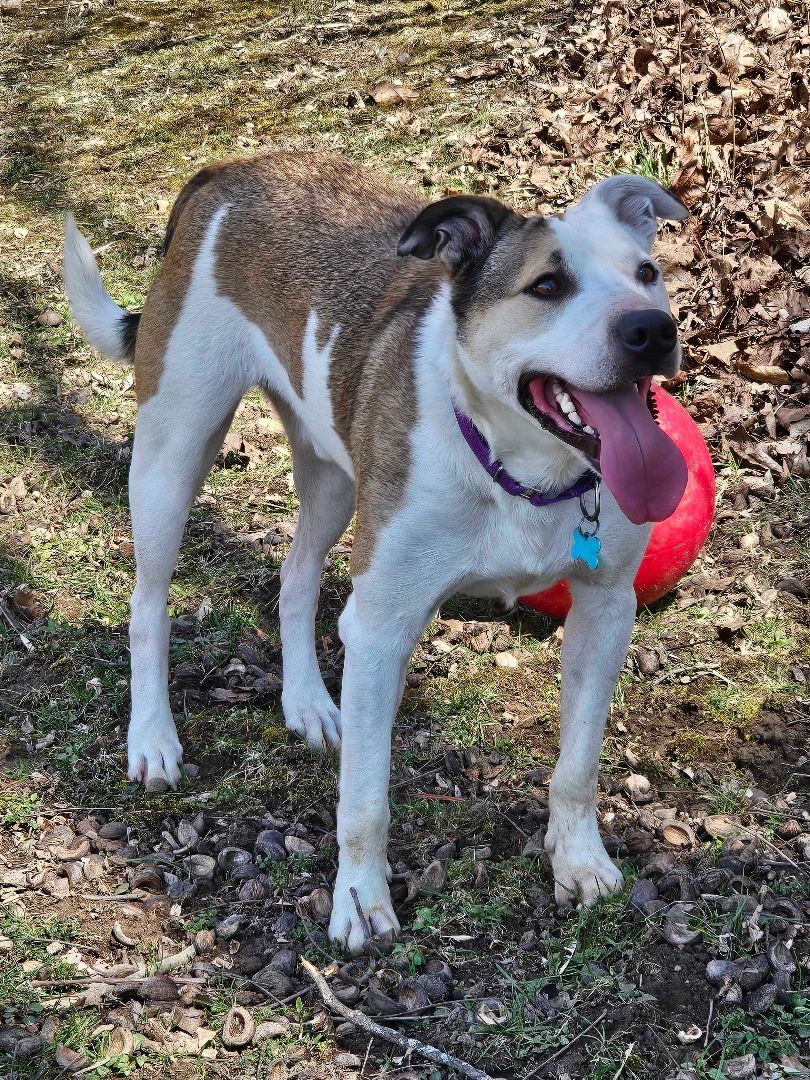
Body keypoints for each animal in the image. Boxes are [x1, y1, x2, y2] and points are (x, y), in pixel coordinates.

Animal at [65, 154, 691, 954]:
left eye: (646, 272)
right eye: (548, 286)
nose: (652, 329)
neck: (522, 471)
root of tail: (232, 167)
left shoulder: (606, 609)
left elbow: (578, 764)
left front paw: (579, 860)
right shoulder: (383, 627)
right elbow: (364, 801)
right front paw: (360, 903)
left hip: (334, 475)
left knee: (296, 578)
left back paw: (307, 704)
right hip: (173, 451)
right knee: (148, 605)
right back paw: (153, 738)